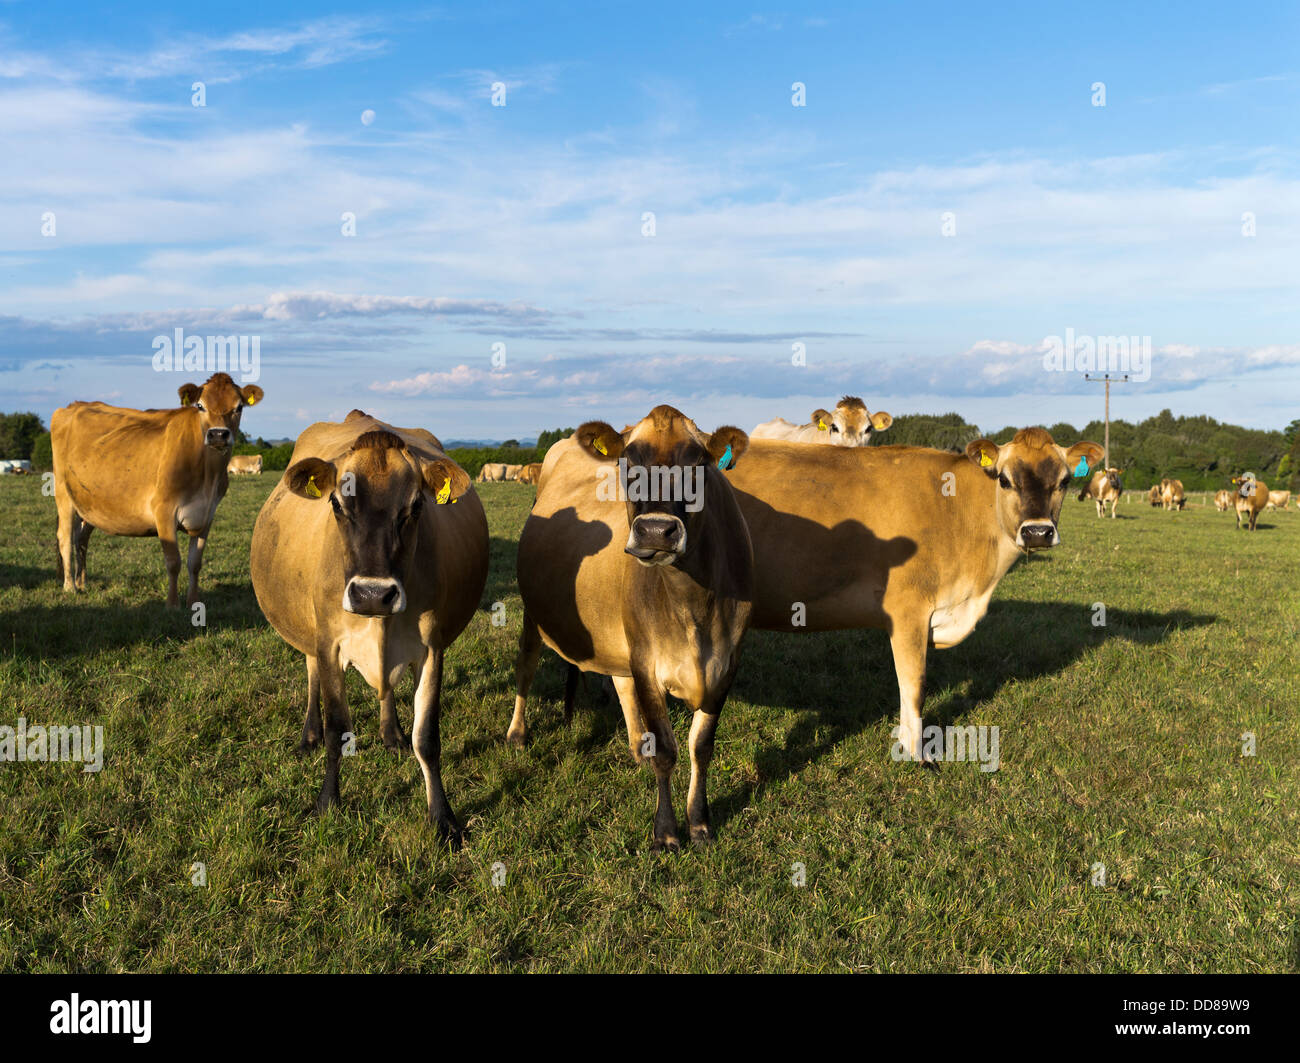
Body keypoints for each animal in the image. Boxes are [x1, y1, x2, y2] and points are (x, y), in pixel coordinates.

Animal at [51, 372, 264, 606]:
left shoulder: (207, 515)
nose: (218, 434)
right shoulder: (164, 510)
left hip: (89, 504)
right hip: (64, 495)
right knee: (65, 537)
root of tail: (73, 405)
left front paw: (193, 601)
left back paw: (82, 583)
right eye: (200, 406)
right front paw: (172, 604)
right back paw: (70, 586)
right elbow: (173, 562)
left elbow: (195, 564)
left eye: (239, 407)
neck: (207, 476)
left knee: (81, 539)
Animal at [249, 410, 488, 844]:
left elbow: (427, 738)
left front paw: (442, 816)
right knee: (311, 674)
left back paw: (391, 733)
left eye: (415, 506)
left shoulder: (432, 649)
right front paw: (327, 803)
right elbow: (336, 731)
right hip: (311, 637)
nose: (373, 595)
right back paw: (308, 735)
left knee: (386, 691)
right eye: (336, 503)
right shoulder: (329, 644)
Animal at [509, 406, 753, 849]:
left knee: (620, 684)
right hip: (535, 611)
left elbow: (701, 746)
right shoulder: (647, 662)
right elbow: (668, 752)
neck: (692, 606)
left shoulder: (728, 662)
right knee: (527, 665)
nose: (657, 531)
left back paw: (636, 745)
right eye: (627, 463)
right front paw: (666, 832)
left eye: (698, 464)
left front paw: (700, 823)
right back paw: (517, 733)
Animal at [723, 427, 1104, 763]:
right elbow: (914, 683)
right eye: (1004, 479)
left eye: (1064, 481)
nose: (1038, 532)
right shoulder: (908, 610)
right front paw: (916, 752)